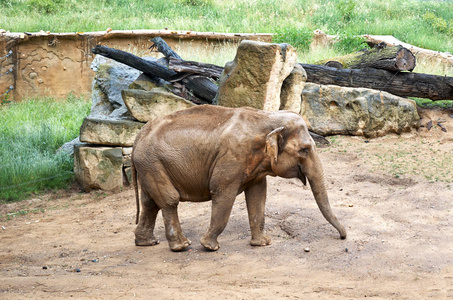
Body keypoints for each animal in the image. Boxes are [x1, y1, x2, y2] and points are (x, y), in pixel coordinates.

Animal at [131, 105, 346, 251]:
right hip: (153, 163)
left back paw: (147, 242)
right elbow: (222, 193)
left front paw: (263, 243)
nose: (343, 237)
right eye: (304, 150)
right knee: (169, 200)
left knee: (150, 202)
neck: (266, 116)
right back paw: (182, 246)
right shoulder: (232, 158)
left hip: (150, 166)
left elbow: (258, 195)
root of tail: (136, 138)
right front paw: (209, 246)